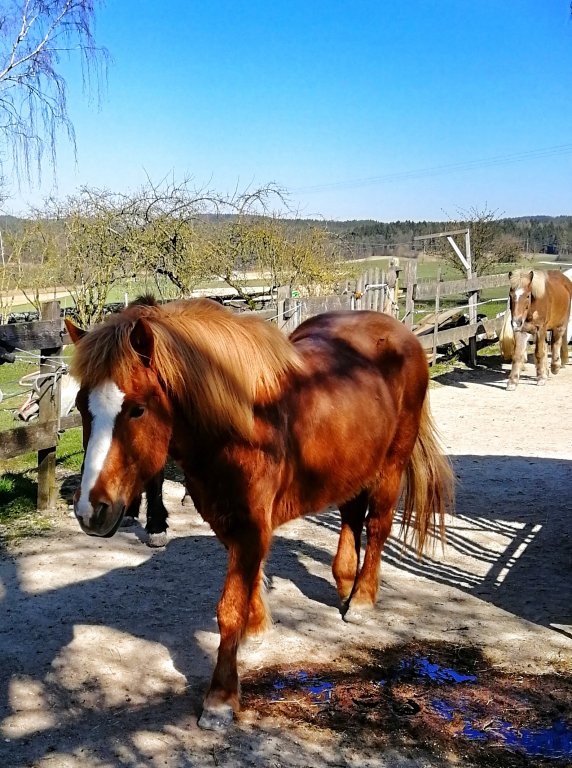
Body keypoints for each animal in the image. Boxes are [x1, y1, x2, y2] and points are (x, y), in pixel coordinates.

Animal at [65, 296, 454, 728]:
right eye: (81, 406)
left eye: (136, 410)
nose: (90, 510)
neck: (243, 424)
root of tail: (400, 332)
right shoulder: (228, 518)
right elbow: (245, 585)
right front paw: (256, 625)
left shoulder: (252, 523)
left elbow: (229, 608)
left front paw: (220, 697)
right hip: (353, 466)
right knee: (352, 517)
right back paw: (344, 584)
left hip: (390, 466)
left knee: (378, 525)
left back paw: (363, 599)